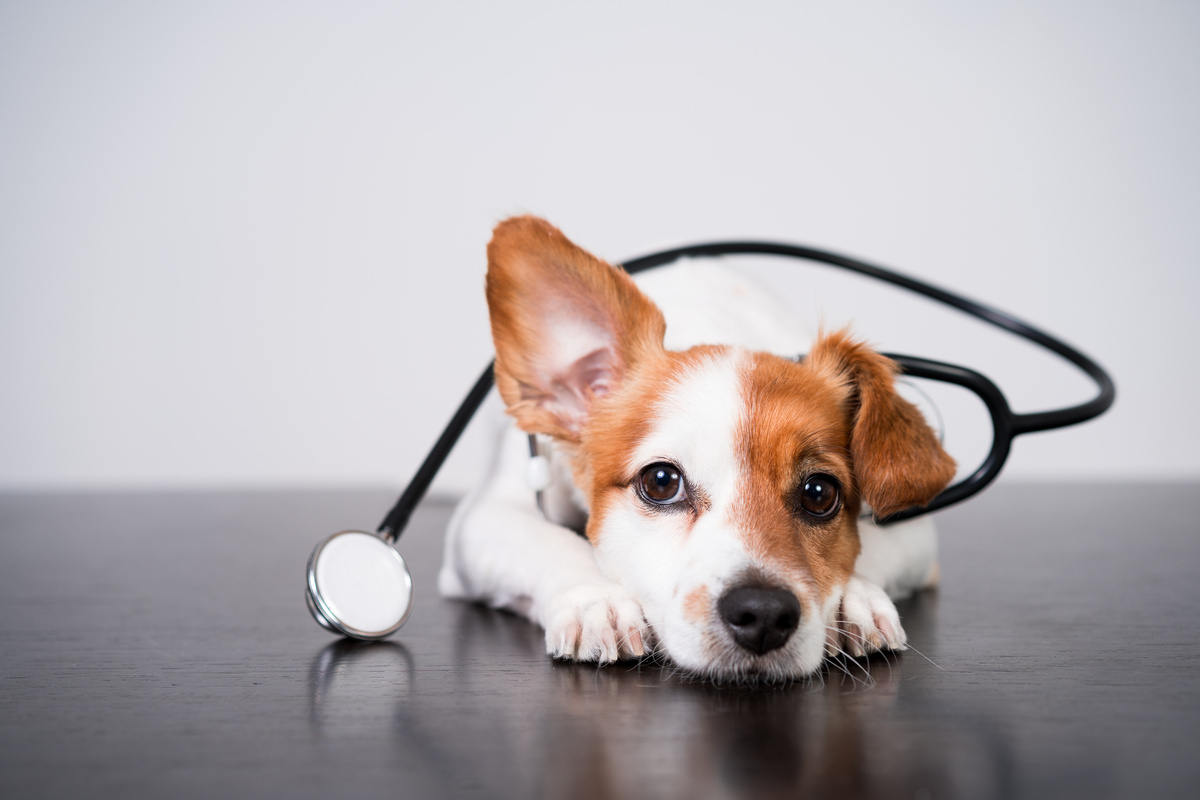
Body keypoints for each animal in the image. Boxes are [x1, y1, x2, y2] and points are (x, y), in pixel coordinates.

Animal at [441, 214, 955, 681]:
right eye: (660, 481)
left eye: (820, 493)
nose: (763, 613)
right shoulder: (485, 518)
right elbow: (550, 542)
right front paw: (597, 598)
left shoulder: (915, 532)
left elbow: (874, 548)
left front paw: (854, 598)